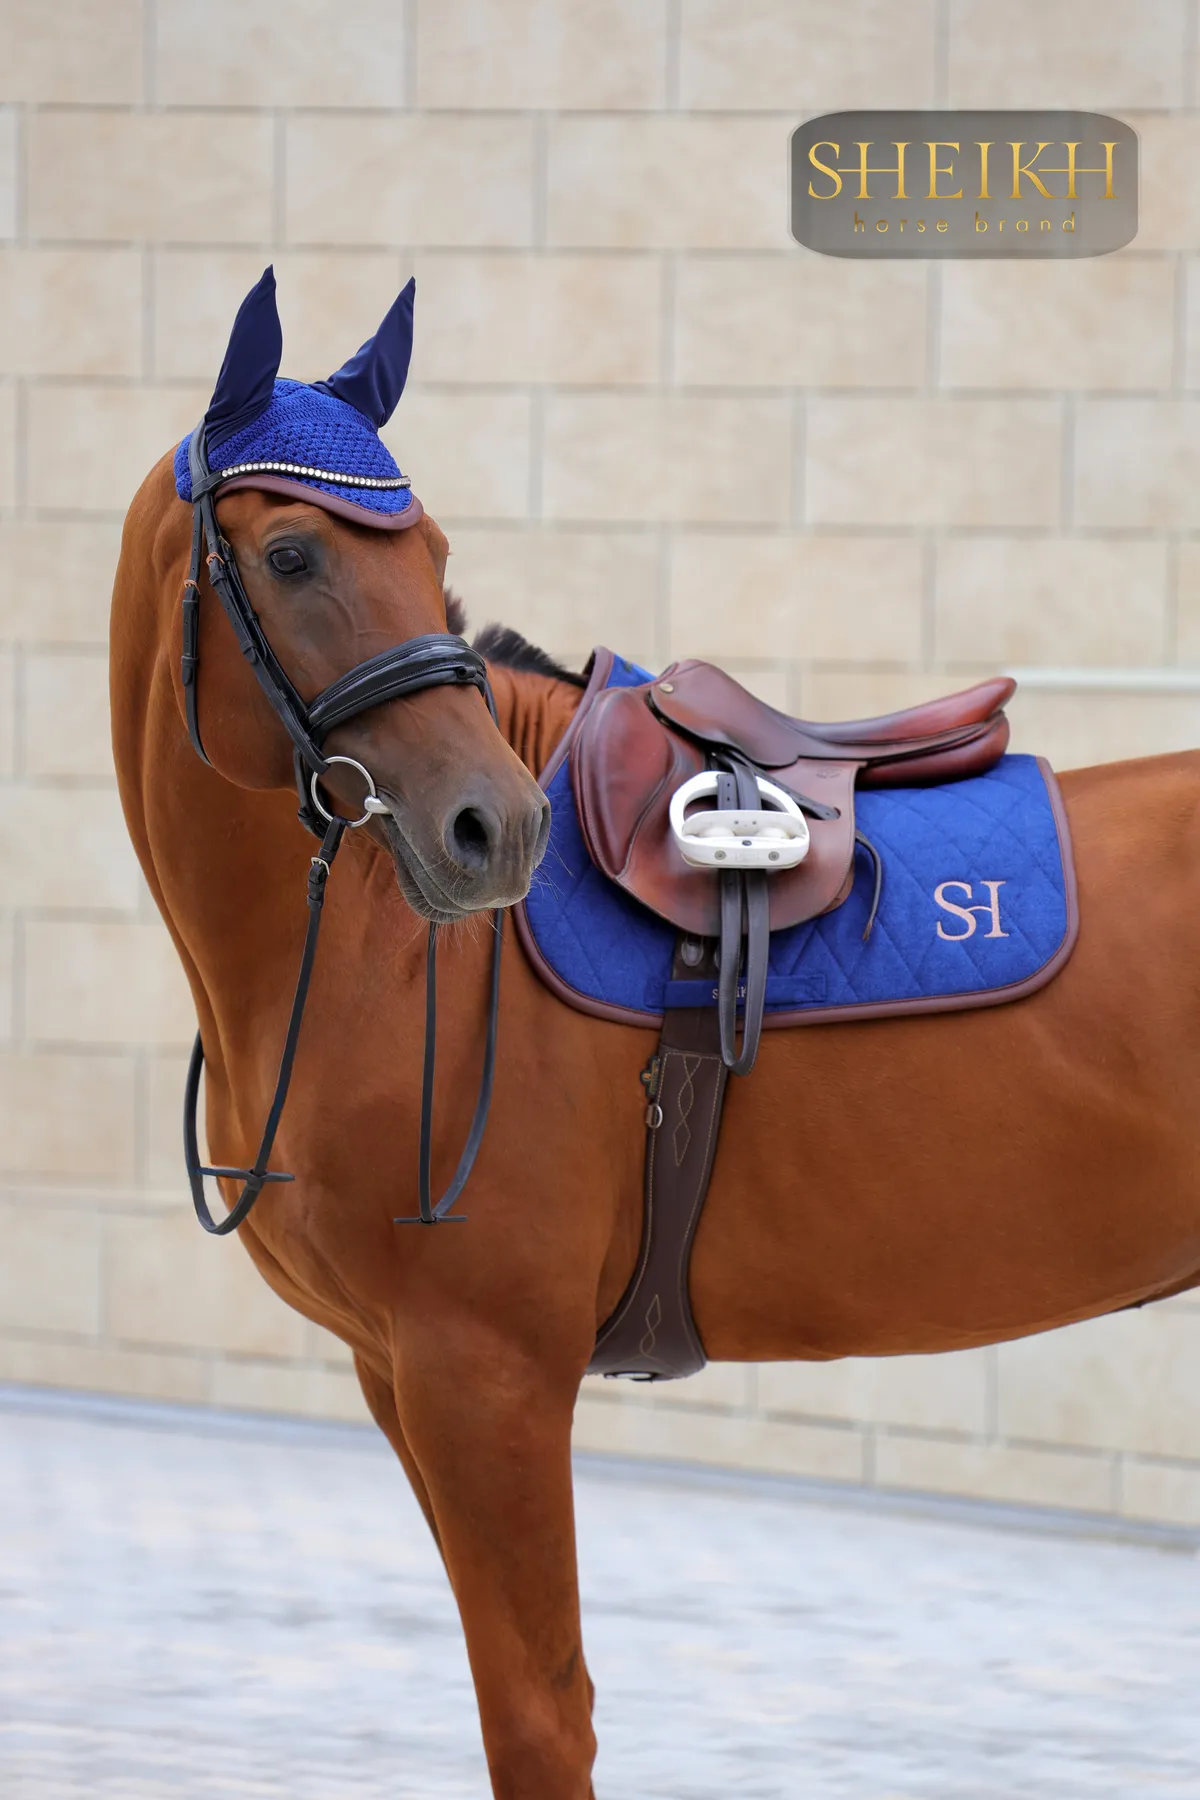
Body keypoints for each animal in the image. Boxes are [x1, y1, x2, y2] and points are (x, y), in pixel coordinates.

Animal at [111, 275, 1200, 1799]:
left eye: (430, 550)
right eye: (289, 551)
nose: (492, 831)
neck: (391, 960)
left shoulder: (485, 1376)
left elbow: (539, 1716)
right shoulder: (401, 1375)